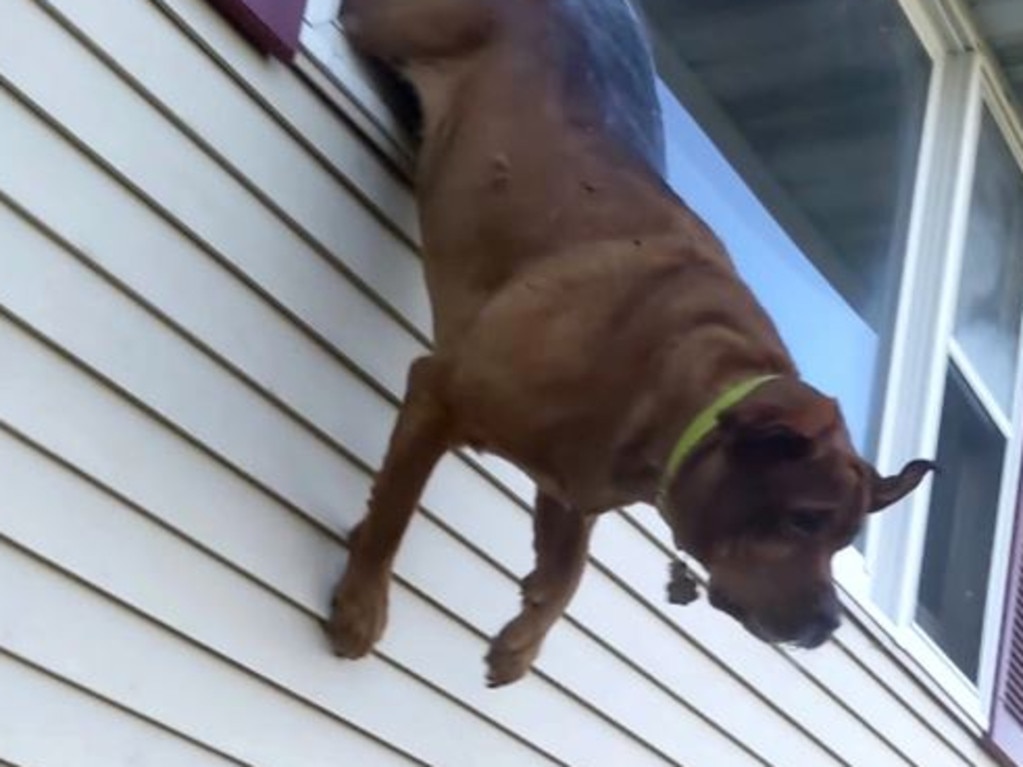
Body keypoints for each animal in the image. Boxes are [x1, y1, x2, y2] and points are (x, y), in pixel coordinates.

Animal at [329, 0, 937, 687]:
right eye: (804, 518)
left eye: (840, 543)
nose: (828, 626)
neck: (667, 388)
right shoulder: (439, 391)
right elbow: (394, 511)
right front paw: (361, 605)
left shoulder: (572, 489)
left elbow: (568, 573)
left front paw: (522, 642)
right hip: (399, 27)